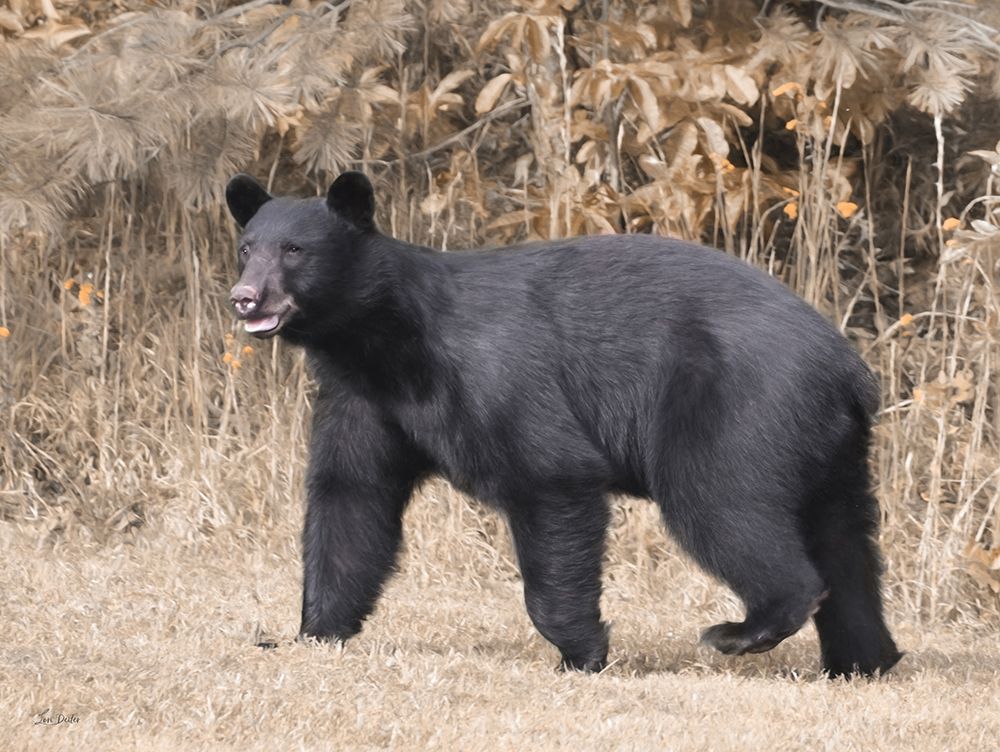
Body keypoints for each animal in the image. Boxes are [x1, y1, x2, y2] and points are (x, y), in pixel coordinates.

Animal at [224, 170, 902, 678]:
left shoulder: (494, 375)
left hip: (742, 406)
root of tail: (850, 369)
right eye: (247, 247)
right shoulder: (364, 400)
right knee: (844, 542)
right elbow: (350, 497)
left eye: (295, 250)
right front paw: (312, 632)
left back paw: (741, 631)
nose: (244, 298)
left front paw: (582, 652)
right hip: (830, 445)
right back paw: (863, 660)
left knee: (720, 503)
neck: (384, 341)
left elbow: (550, 476)